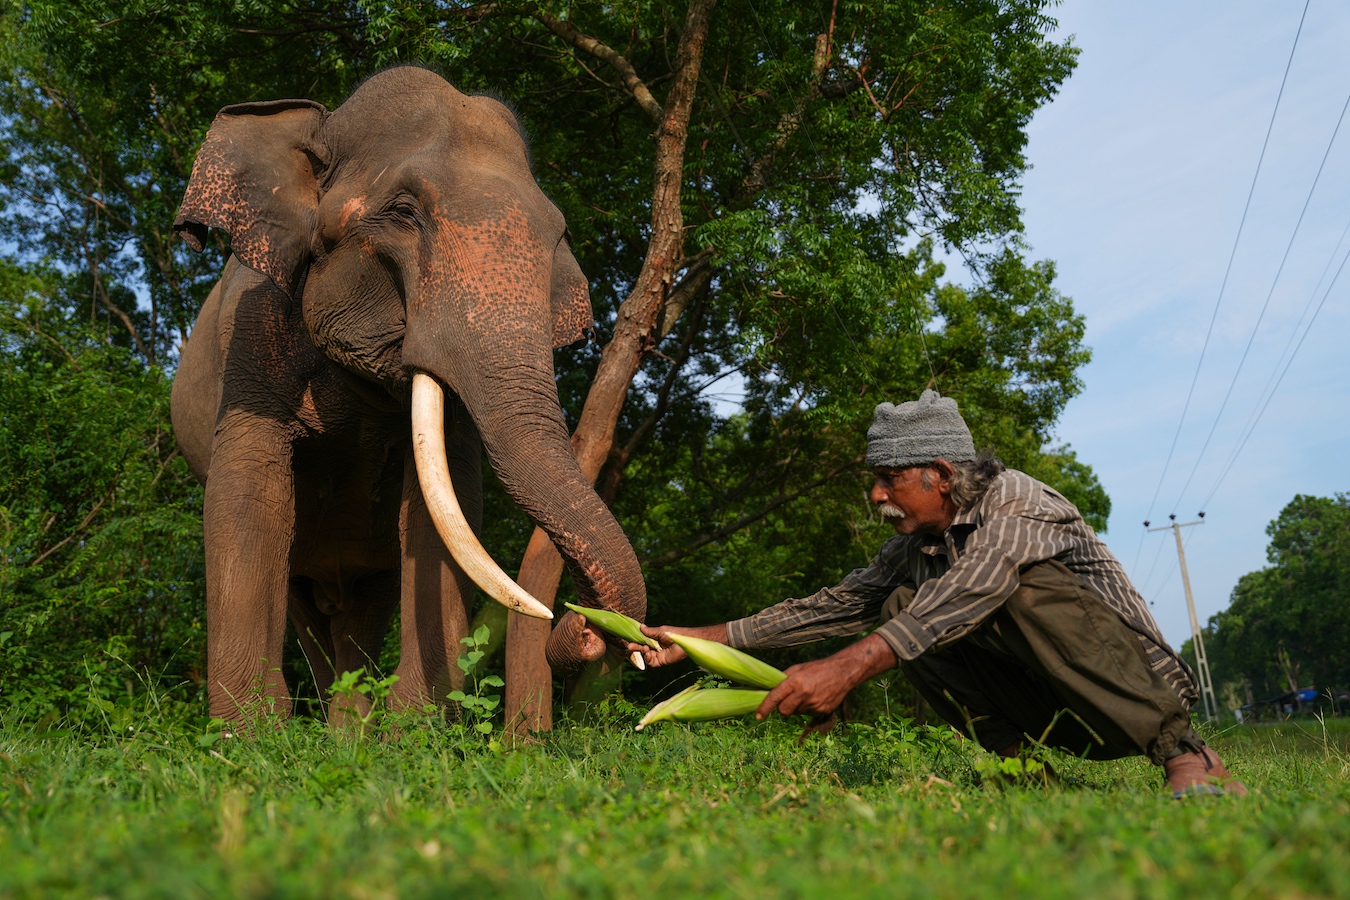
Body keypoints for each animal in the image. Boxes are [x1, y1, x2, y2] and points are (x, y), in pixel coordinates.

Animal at [171, 65, 645, 723]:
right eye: (403, 212)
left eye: (561, 235)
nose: (581, 628)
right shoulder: (252, 332)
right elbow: (247, 492)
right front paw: (248, 735)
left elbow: (445, 507)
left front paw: (414, 729)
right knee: (302, 604)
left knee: (364, 607)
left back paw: (350, 727)